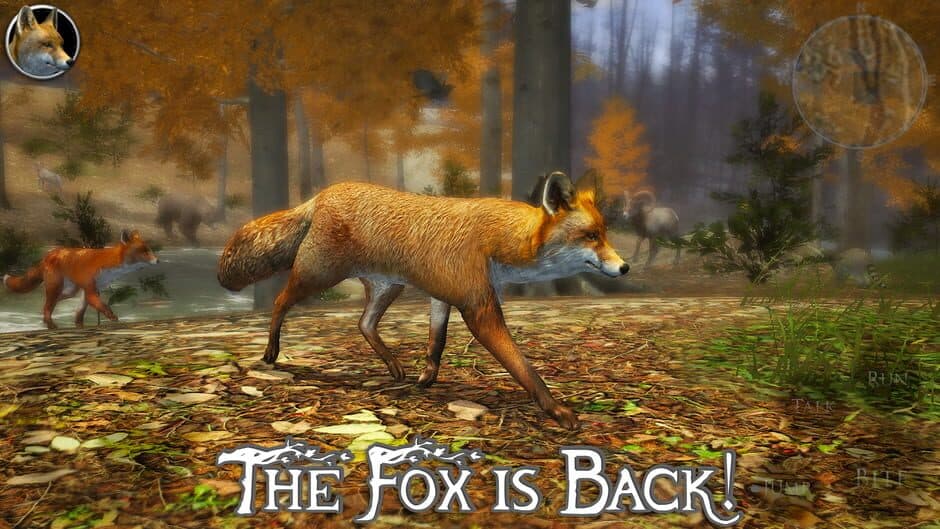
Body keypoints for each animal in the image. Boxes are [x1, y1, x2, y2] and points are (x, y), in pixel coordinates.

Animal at [3, 230, 159, 329]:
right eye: (144, 251)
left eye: (150, 249)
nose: (157, 261)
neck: (109, 265)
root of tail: (48, 255)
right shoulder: (90, 289)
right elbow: (101, 305)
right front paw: (112, 317)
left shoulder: (90, 289)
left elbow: (80, 311)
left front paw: (79, 325)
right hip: (56, 286)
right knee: (48, 305)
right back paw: (51, 325)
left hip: (70, 290)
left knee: (50, 303)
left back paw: (45, 320)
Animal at [218, 172, 630, 430]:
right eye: (591, 236)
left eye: (605, 234)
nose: (625, 267)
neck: (500, 241)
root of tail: (322, 195)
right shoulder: (478, 307)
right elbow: (523, 368)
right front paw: (557, 410)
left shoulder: (442, 296)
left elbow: (437, 342)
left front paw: (427, 378)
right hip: (317, 276)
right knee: (280, 301)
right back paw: (271, 352)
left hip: (388, 288)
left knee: (363, 324)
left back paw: (393, 367)